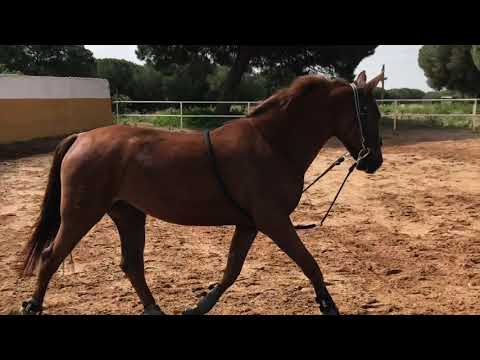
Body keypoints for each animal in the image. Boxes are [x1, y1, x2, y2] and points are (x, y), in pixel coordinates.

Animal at [18, 70, 384, 316]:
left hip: (128, 213)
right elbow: (309, 263)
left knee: (132, 264)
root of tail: (81, 137)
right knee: (51, 257)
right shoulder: (274, 221)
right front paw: (328, 305)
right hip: (81, 213)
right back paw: (33, 305)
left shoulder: (250, 223)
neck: (272, 144)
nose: (374, 161)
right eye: (368, 112)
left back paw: (154, 309)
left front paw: (199, 306)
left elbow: (232, 269)